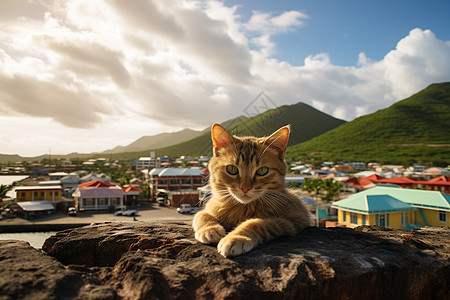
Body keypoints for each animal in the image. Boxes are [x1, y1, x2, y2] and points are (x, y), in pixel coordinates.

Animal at [193, 123, 312, 256]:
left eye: (262, 171)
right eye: (232, 169)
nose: (245, 188)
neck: (242, 207)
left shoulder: (292, 220)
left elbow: (256, 222)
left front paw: (236, 237)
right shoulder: (211, 206)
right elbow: (202, 214)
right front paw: (210, 228)